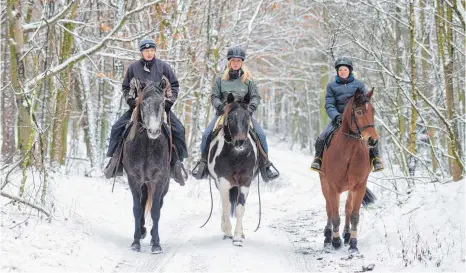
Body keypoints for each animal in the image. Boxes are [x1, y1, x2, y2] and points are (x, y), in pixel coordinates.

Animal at [123, 78, 172, 253]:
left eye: (163, 102)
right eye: (143, 102)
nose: (153, 131)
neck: (146, 145)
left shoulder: (159, 179)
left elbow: (156, 210)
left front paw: (156, 243)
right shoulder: (134, 179)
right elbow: (137, 209)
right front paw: (136, 241)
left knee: (159, 204)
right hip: (144, 183)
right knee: (144, 201)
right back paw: (143, 231)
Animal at [208, 92, 258, 245]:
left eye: (247, 116)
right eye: (230, 117)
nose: (240, 142)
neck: (236, 156)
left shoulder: (246, 182)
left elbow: (240, 208)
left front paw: (237, 237)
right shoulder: (223, 182)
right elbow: (226, 207)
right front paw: (228, 233)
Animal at [318, 88, 380, 253]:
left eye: (373, 110)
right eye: (358, 112)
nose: (373, 140)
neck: (348, 153)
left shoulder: (359, 186)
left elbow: (354, 215)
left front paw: (353, 244)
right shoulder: (333, 187)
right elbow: (334, 215)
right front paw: (335, 241)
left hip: (351, 188)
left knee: (347, 208)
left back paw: (346, 235)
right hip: (324, 183)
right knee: (329, 208)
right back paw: (328, 236)